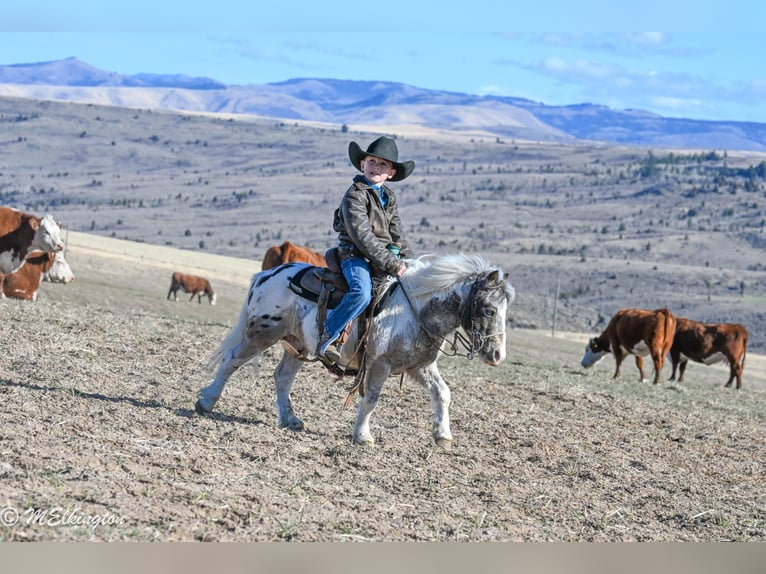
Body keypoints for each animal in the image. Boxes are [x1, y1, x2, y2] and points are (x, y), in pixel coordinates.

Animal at [195, 253, 515, 448]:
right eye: (488, 309)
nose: (498, 356)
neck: (413, 310)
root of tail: (266, 275)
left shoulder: (418, 366)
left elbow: (442, 393)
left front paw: (443, 435)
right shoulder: (379, 364)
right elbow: (371, 398)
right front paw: (362, 435)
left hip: (297, 344)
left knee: (283, 376)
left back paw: (290, 419)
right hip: (262, 333)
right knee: (231, 361)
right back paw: (206, 402)